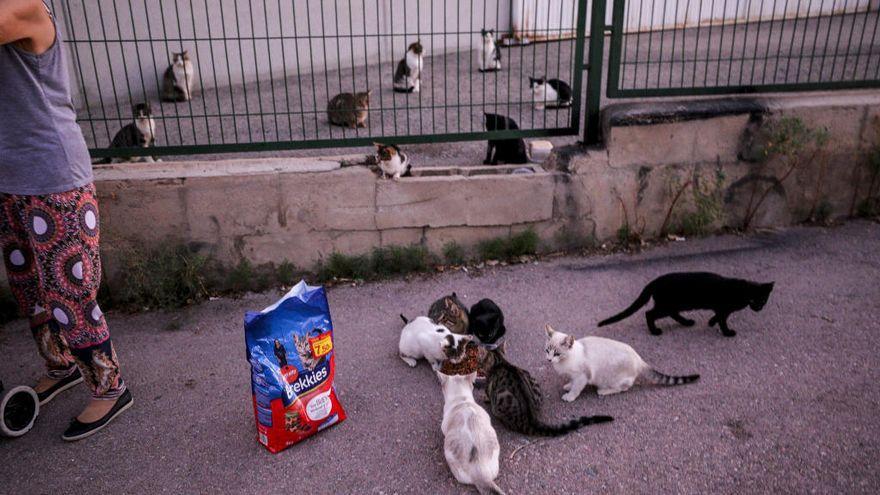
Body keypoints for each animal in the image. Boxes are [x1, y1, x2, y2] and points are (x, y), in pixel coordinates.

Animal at [540, 326, 696, 404]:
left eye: (557, 354)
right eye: (547, 351)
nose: (549, 360)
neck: (564, 362)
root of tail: (638, 358)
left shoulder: (582, 376)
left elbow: (576, 388)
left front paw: (570, 396)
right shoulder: (574, 376)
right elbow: (571, 382)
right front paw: (568, 386)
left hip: (613, 379)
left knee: (623, 388)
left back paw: (603, 391)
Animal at [596, 272, 772, 338]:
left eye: (763, 300)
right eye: (753, 300)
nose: (758, 308)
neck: (741, 291)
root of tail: (655, 281)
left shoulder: (722, 309)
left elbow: (718, 317)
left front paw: (710, 322)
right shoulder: (723, 308)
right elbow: (722, 320)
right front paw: (727, 332)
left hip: (674, 305)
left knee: (672, 314)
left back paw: (687, 322)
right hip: (667, 305)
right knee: (649, 314)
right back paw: (655, 331)